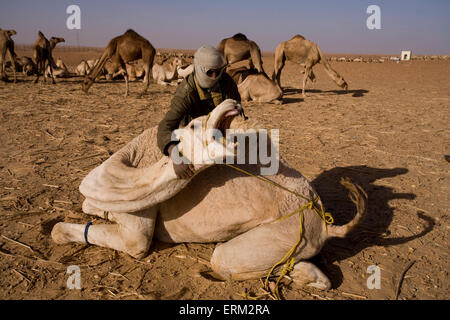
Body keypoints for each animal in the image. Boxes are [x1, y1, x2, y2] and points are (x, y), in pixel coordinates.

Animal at [52, 99, 368, 290]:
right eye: (193, 124)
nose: (232, 102)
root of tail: (323, 221)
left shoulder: (137, 233)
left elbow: (131, 242)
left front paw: (58, 230)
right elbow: (90, 204)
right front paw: (96, 209)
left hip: (286, 233)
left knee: (223, 261)